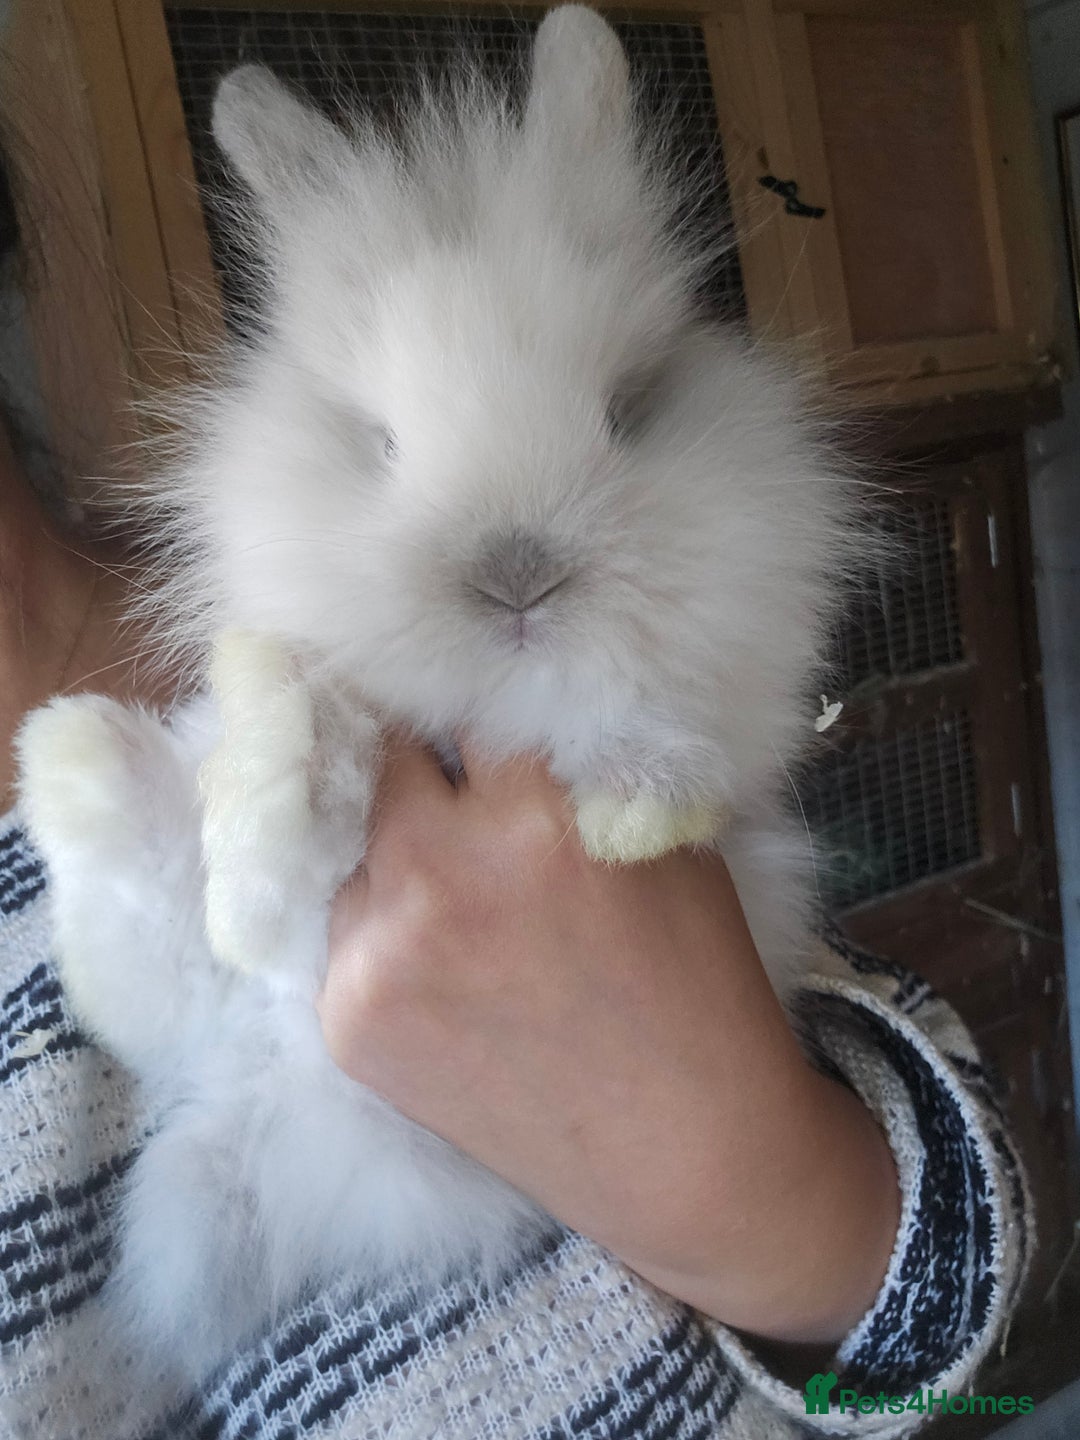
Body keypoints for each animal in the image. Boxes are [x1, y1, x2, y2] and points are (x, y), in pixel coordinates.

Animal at [16, 4, 868, 1387]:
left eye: (630, 409)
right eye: (378, 443)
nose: (516, 573)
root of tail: (261, 1118)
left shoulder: (743, 692)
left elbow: (668, 725)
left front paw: (627, 816)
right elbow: (312, 743)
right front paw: (265, 837)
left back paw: (72, 762)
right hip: (230, 1010)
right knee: (148, 972)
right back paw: (78, 757)